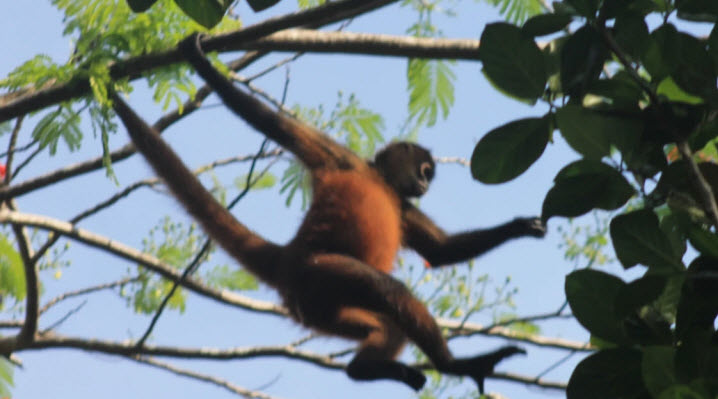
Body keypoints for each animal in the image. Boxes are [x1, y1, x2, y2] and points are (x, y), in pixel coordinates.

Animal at [111, 33, 544, 394]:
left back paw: (364, 370)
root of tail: (288, 255)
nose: (423, 186)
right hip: (321, 270)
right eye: (424, 171)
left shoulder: (402, 206)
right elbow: (268, 121)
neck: (380, 180)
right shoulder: (340, 158)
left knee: (387, 322)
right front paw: (200, 62)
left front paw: (520, 226)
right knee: (390, 291)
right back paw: (456, 365)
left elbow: (439, 252)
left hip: (321, 310)